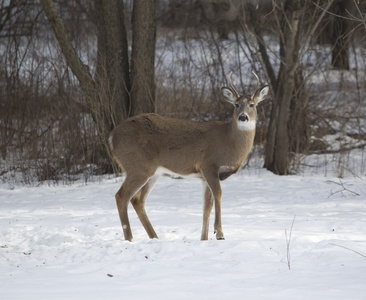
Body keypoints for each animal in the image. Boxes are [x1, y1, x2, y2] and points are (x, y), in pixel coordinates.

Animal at [108, 73, 268, 241]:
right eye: (236, 105)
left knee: (137, 200)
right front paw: (219, 234)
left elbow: (206, 206)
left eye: (252, 104)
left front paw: (204, 239)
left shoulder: (204, 177)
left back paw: (154, 237)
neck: (230, 143)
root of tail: (111, 137)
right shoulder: (208, 165)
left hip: (153, 172)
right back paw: (129, 238)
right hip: (137, 166)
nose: (243, 117)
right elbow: (218, 194)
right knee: (121, 196)